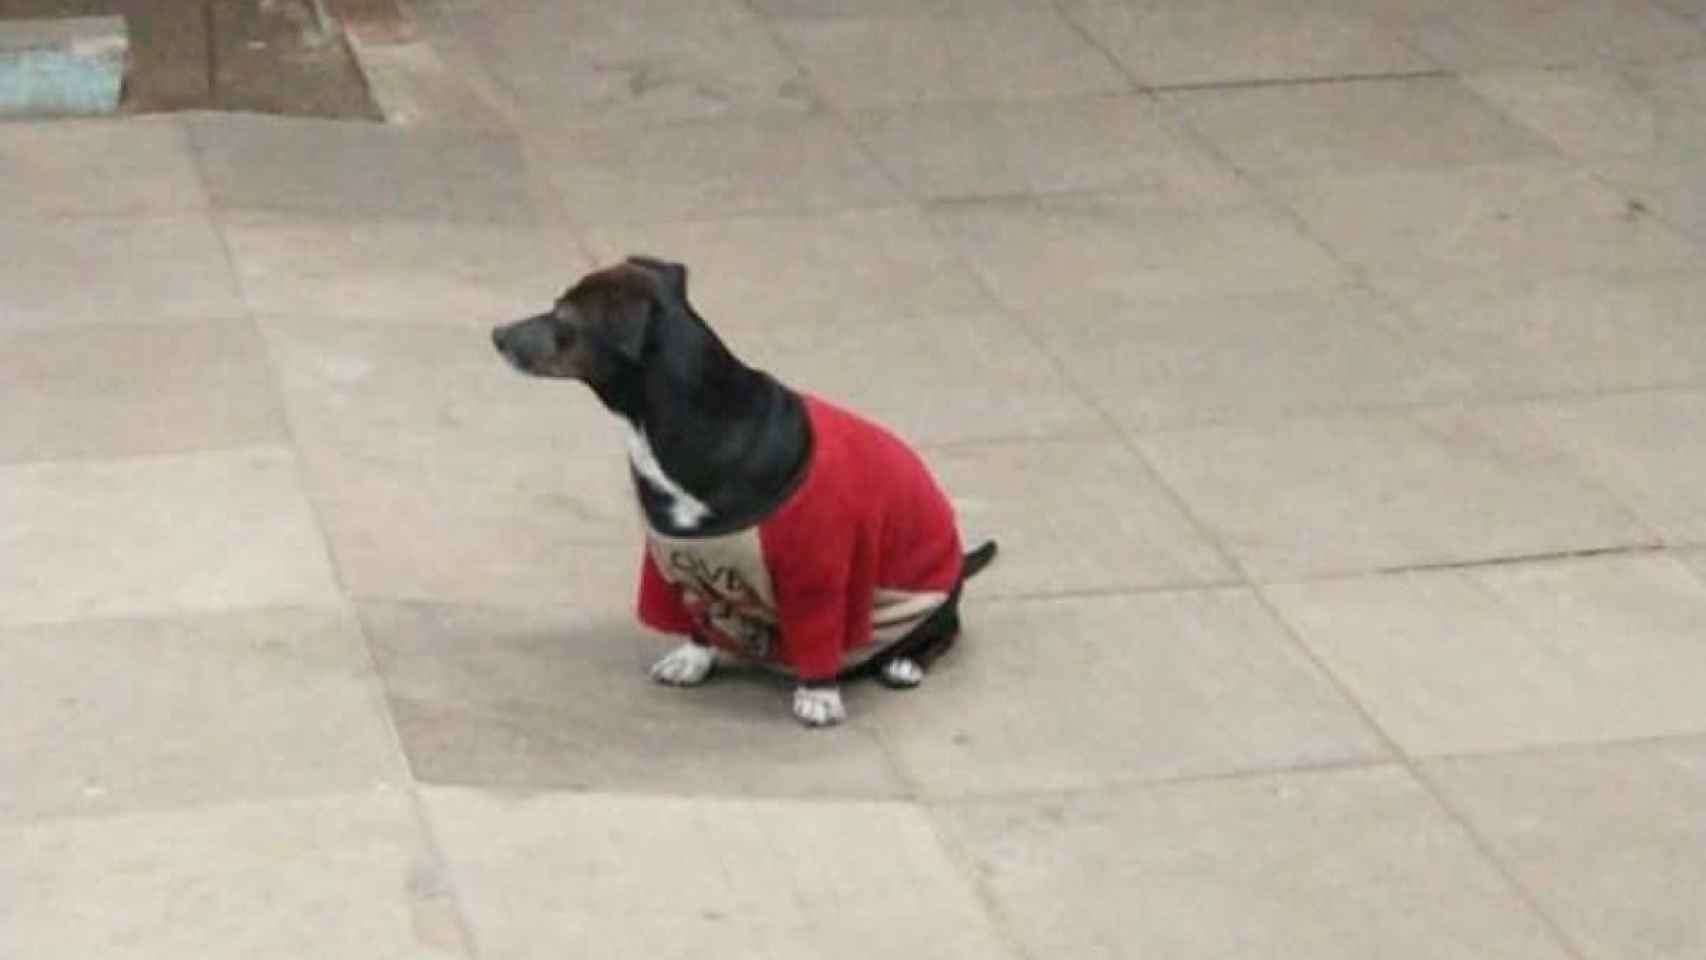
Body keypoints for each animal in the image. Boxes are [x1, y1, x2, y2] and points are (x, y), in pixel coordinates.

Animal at [494, 255, 996, 729]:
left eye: (563, 316)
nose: (496, 334)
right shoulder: (674, 557)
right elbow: (694, 615)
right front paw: (693, 657)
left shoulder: (816, 568)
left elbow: (820, 633)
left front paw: (819, 693)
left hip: (928, 597)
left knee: (944, 630)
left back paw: (905, 662)